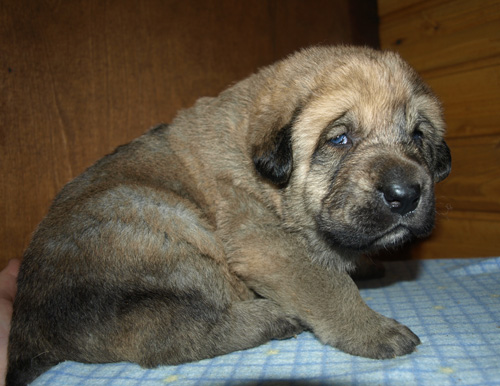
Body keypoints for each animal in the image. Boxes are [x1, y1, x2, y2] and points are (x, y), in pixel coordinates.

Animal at [6, 44, 454, 382]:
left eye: (418, 135)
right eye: (340, 139)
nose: (405, 195)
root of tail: (29, 327)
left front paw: (367, 268)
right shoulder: (269, 246)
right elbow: (329, 286)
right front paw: (373, 329)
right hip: (158, 220)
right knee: (172, 335)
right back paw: (272, 317)